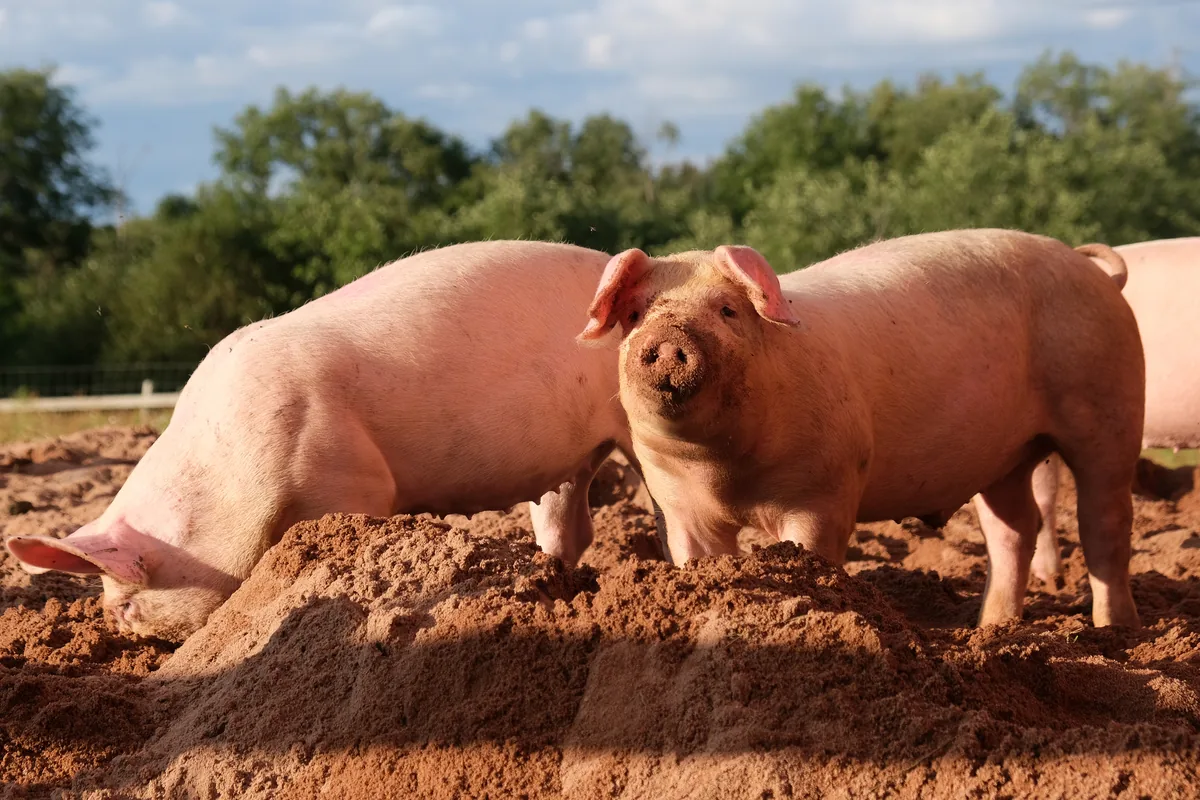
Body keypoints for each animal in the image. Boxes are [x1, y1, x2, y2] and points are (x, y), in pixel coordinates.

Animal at [6, 240, 638, 641]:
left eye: (128, 603)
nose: (117, 628)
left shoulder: (348, 480)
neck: (223, 479)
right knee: (570, 525)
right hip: (570, 460)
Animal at [578, 229, 1144, 628]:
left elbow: (812, 555)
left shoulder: (824, 490)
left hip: (1109, 404)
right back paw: (990, 627)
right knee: (1014, 527)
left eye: (728, 310)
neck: (723, 472)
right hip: (1004, 456)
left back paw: (1116, 632)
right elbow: (697, 558)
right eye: (636, 313)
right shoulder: (676, 501)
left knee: (1104, 522)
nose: (668, 337)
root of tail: (1093, 271)